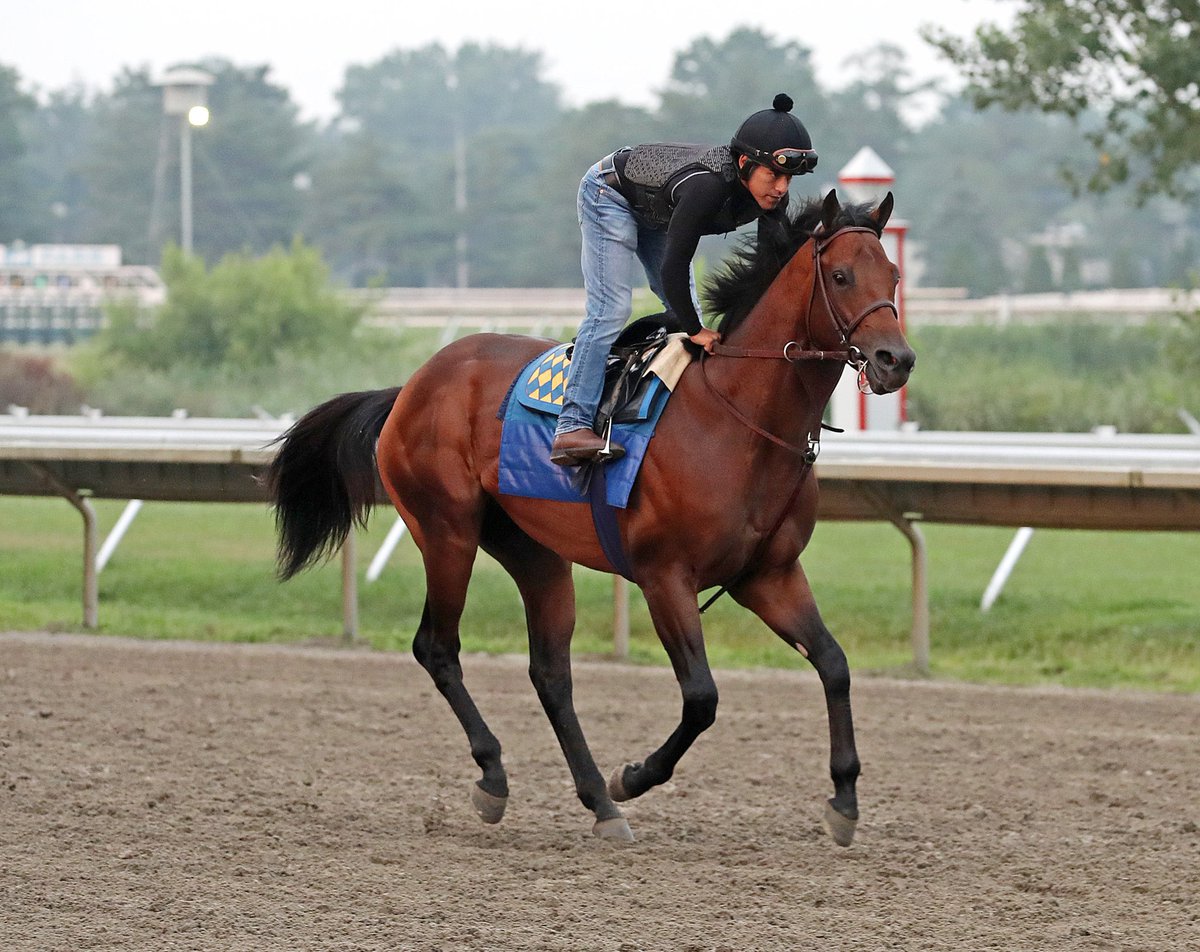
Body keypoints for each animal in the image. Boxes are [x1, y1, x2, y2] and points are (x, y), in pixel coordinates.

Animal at [268, 188, 914, 845]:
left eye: (893, 274)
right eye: (841, 276)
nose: (896, 360)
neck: (738, 419)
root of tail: (410, 387)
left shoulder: (769, 575)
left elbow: (834, 664)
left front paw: (844, 798)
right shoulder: (664, 575)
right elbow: (701, 697)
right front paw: (633, 775)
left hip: (533, 551)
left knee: (551, 673)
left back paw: (598, 802)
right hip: (447, 531)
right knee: (437, 647)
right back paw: (497, 777)